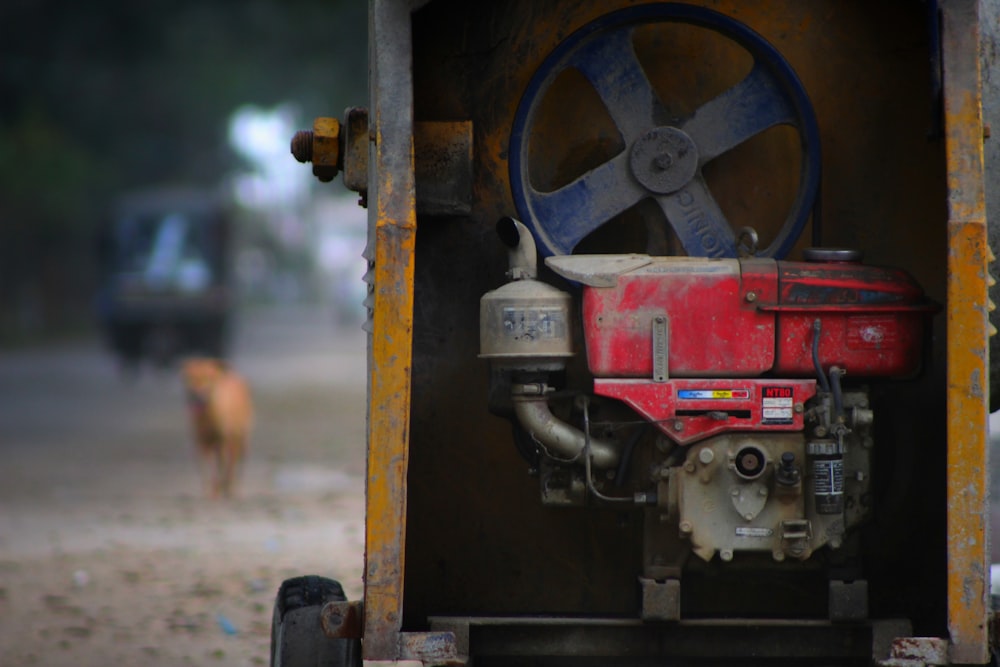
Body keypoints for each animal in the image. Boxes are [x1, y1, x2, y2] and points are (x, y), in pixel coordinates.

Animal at [183, 358, 254, 498]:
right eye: (191, 378)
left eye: (208, 378)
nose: (195, 394)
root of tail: (233, 375)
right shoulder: (201, 443)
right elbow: (207, 470)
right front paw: (211, 491)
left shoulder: (224, 442)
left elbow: (223, 466)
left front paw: (222, 487)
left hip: (242, 440)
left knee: (235, 463)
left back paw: (232, 486)